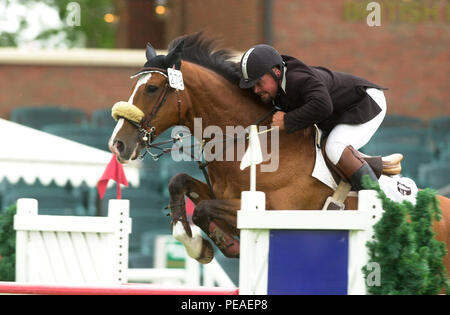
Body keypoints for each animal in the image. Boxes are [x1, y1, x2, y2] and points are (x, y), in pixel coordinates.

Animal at [110, 32, 450, 274]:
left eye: (152, 89)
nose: (119, 144)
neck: (245, 138)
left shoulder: (274, 209)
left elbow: (204, 209)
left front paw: (223, 246)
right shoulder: (222, 192)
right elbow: (180, 184)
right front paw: (198, 245)